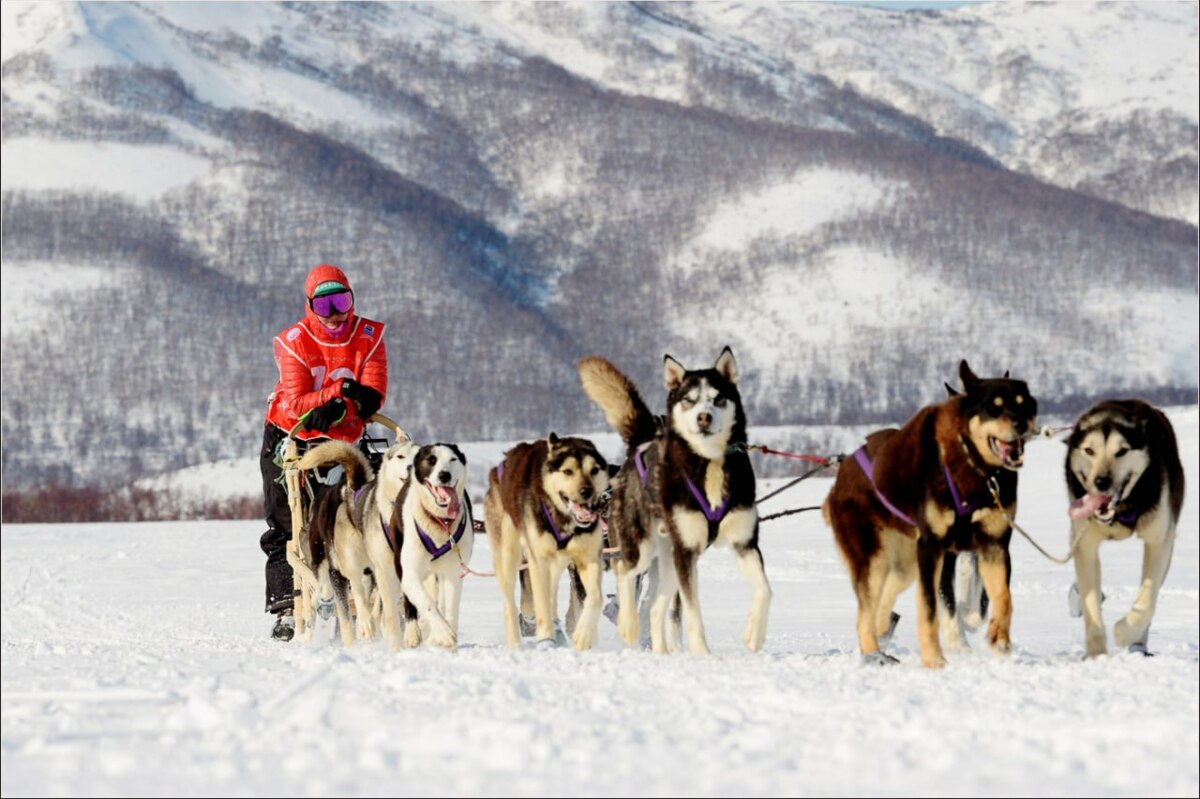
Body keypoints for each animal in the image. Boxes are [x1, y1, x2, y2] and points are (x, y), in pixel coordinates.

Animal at [820, 359, 1036, 667]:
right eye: (993, 407)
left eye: (1024, 403)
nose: (1021, 425)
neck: (974, 470)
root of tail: (840, 479)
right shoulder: (935, 549)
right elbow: (932, 608)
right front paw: (937, 660)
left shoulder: (993, 544)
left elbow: (1002, 597)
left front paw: (999, 638)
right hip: (875, 558)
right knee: (864, 613)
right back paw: (874, 653)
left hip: (905, 561)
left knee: (883, 598)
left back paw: (884, 629)